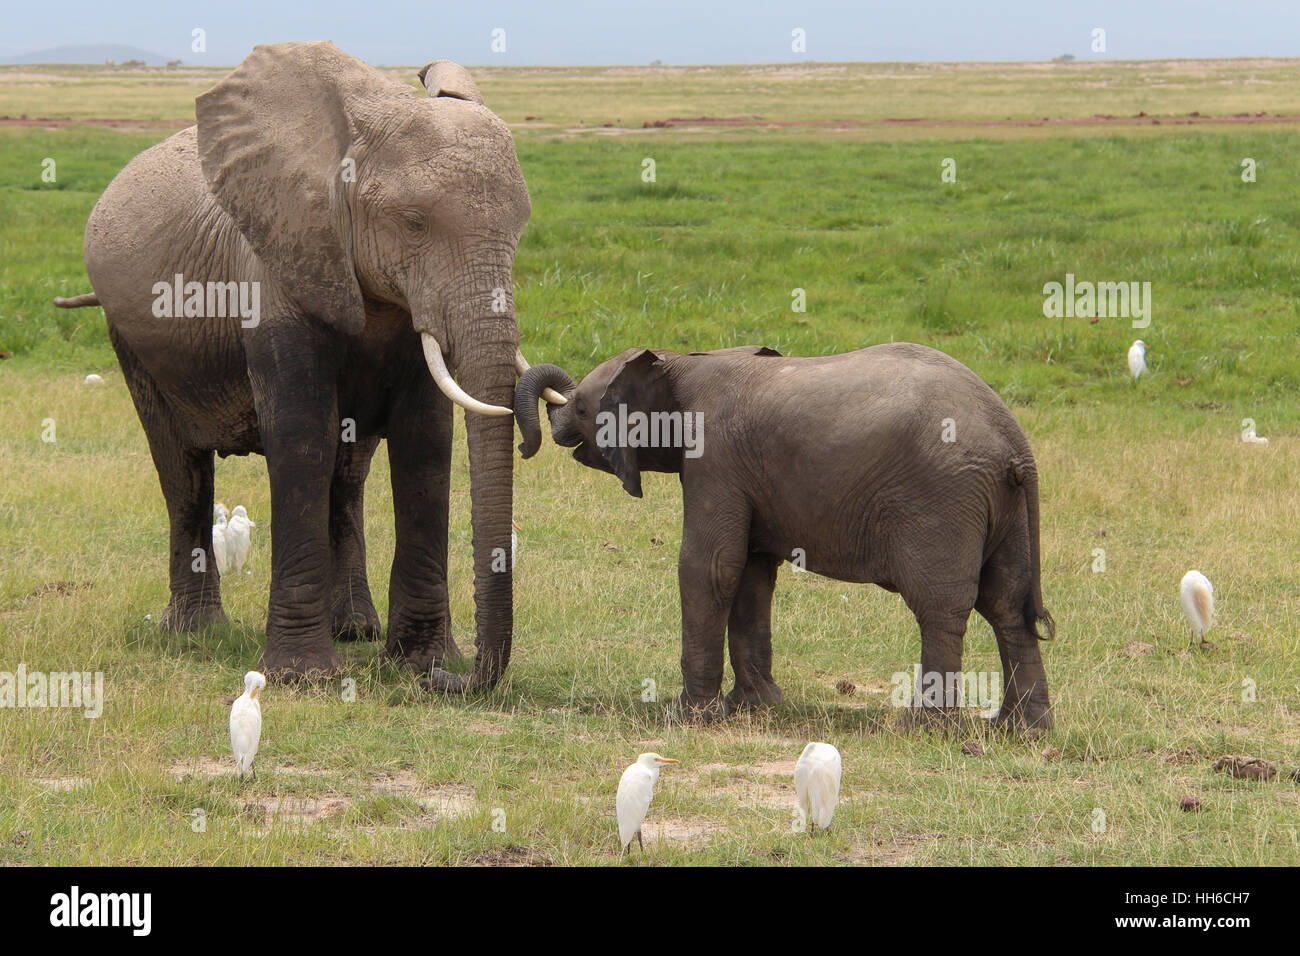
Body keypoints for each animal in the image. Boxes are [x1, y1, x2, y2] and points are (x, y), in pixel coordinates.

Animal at [57, 42, 564, 686]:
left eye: (520, 228)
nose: (453, 680)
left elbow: (424, 442)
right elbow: (301, 437)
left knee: (346, 477)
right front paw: (302, 676)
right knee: (181, 469)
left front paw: (418, 662)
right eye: (414, 223)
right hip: (130, 338)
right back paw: (197, 631)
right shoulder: (277, 258)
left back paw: (355, 630)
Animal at [512, 343, 1050, 723]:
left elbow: (709, 566)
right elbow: (750, 573)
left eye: (583, 409)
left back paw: (926, 727)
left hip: (943, 499)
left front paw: (688, 717)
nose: (526, 445)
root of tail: (1015, 443)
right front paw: (756, 707)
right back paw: (1020, 728)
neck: (681, 359)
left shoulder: (715, 457)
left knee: (941, 606)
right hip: (1002, 508)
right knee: (1006, 604)